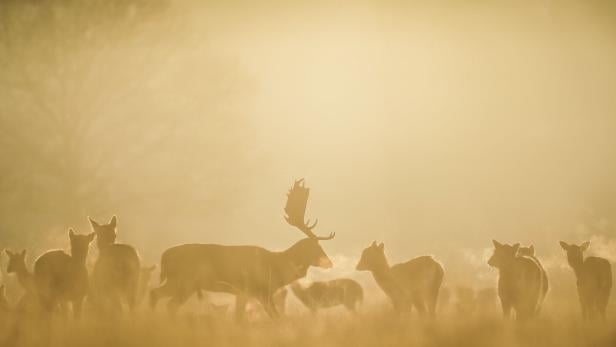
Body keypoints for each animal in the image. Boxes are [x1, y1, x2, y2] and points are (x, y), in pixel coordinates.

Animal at [150, 181, 336, 320]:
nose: (329, 263)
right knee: (167, 302)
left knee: (156, 295)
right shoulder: (258, 290)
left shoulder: (244, 293)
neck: (276, 266)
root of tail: (164, 256)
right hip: (184, 280)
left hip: (180, 282)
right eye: (316, 247)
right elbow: (275, 318)